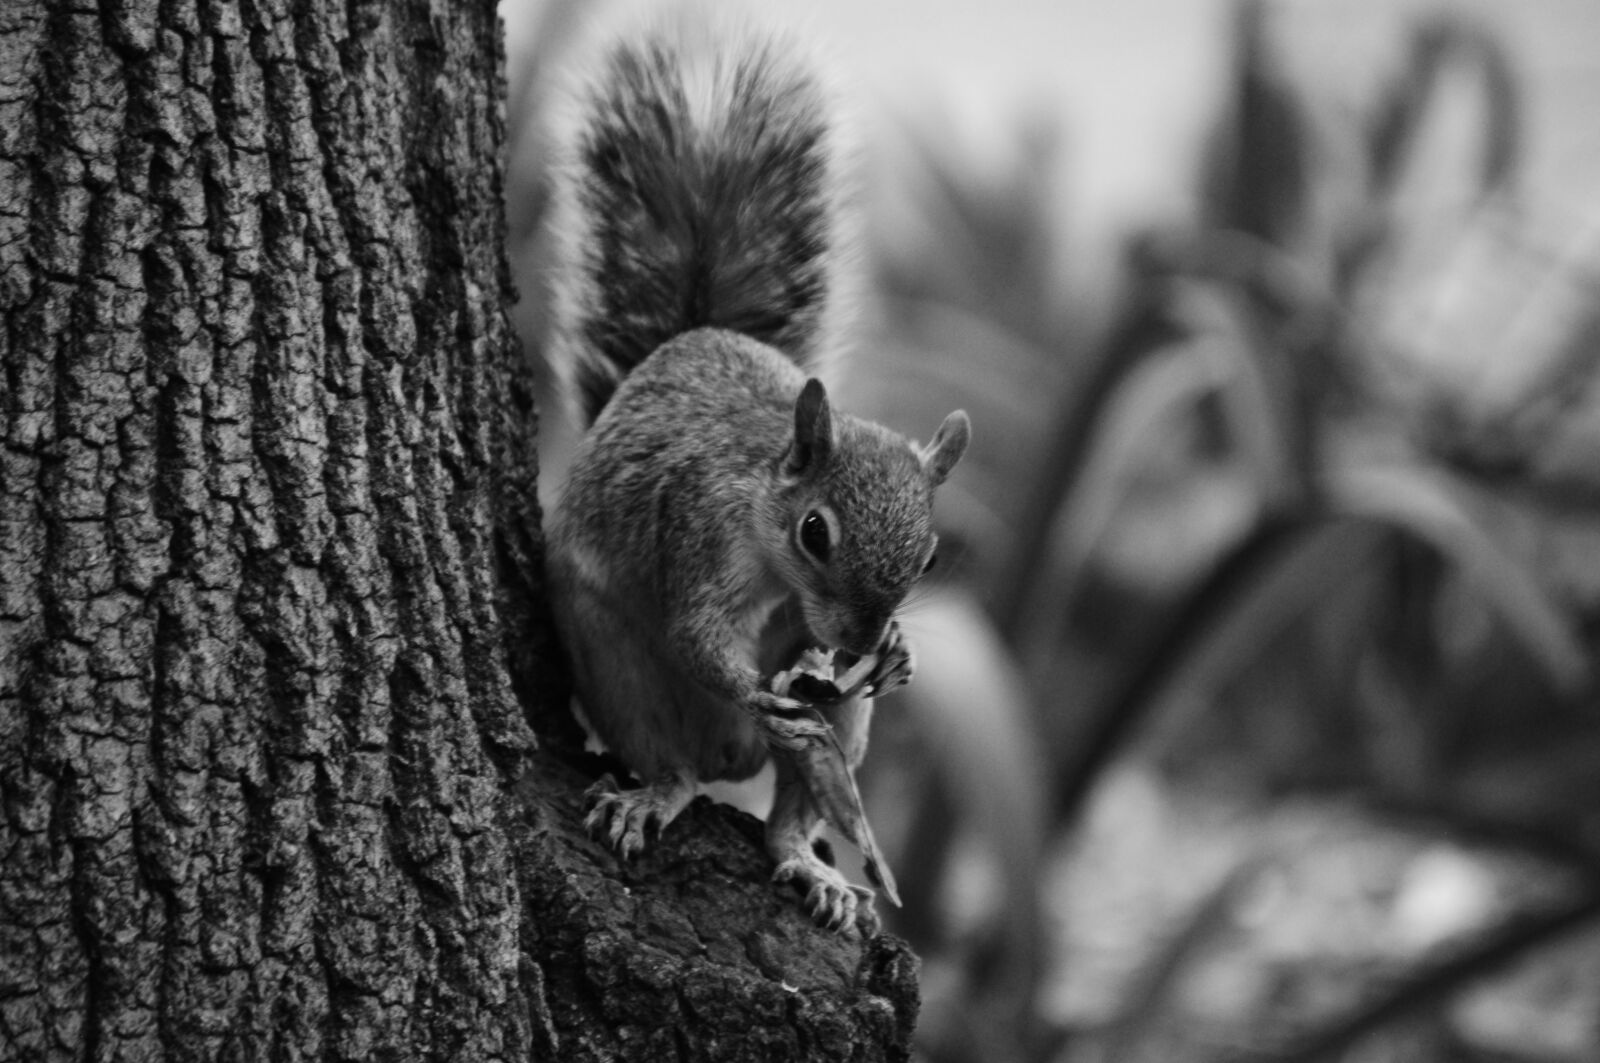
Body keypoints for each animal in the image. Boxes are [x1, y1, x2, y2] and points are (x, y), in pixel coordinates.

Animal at [543, 7, 970, 934]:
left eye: (927, 557)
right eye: (816, 531)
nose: (860, 641)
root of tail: (729, 754)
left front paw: (904, 649)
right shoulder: (696, 529)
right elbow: (697, 631)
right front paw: (748, 682)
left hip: (843, 716)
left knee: (797, 798)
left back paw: (808, 863)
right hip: (617, 669)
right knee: (668, 757)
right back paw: (658, 792)